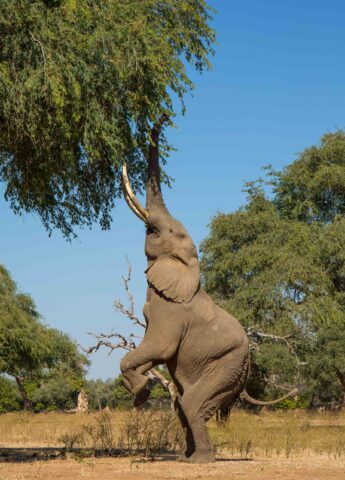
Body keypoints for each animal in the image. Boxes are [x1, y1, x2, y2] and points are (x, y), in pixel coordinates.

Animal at [119, 114, 296, 464]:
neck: (188, 264)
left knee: (191, 404)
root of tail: (248, 365)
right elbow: (154, 352)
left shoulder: (171, 311)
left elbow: (160, 347)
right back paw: (186, 458)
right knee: (182, 405)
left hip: (226, 365)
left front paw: (141, 393)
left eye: (153, 230)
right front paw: (142, 386)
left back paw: (200, 460)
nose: (164, 116)